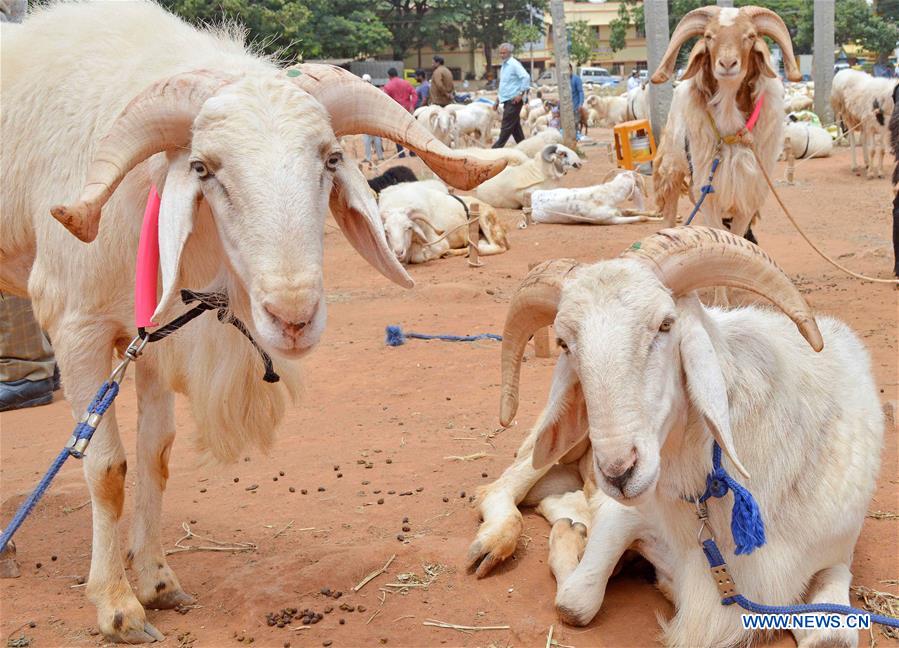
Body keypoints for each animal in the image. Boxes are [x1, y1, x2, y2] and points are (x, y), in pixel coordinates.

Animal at [376, 180, 510, 264]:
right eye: (386, 231)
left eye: (408, 227)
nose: (399, 252)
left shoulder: (439, 244)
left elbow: (417, 257)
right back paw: (454, 252)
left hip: (485, 220)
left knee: (499, 247)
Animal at [472, 227, 884, 648]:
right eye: (564, 344)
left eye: (666, 324)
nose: (619, 471)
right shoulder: (624, 513)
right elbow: (576, 602)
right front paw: (575, 543)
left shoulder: (835, 556)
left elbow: (831, 636)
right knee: (499, 488)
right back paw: (498, 542)